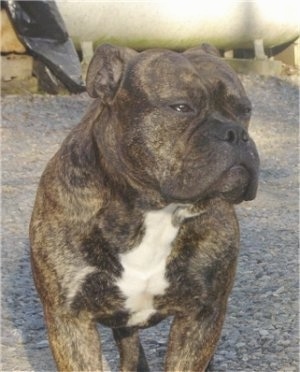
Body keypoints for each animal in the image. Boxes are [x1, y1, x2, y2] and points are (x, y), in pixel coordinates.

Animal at [31, 42, 260, 370]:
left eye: (245, 110)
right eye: (181, 107)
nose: (236, 133)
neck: (155, 210)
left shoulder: (202, 315)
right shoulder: (69, 321)